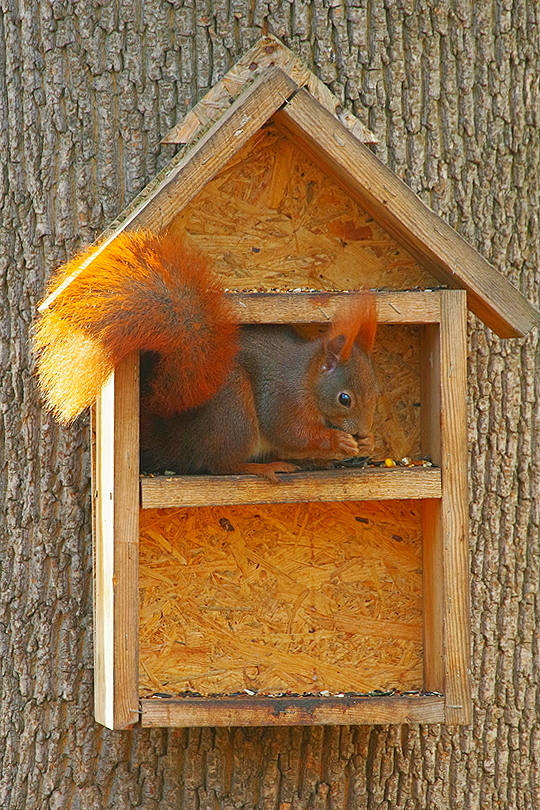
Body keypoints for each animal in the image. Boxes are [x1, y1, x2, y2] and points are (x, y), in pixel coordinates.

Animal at [34, 229, 380, 480]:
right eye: (344, 399)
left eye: (377, 393)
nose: (363, 431)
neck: (307, 378)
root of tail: (175, 440)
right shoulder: (284, 397)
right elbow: (291, 433)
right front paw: (339, 441)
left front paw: (368, 442)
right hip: (234, 413)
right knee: (223, 465)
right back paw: (264, 467)